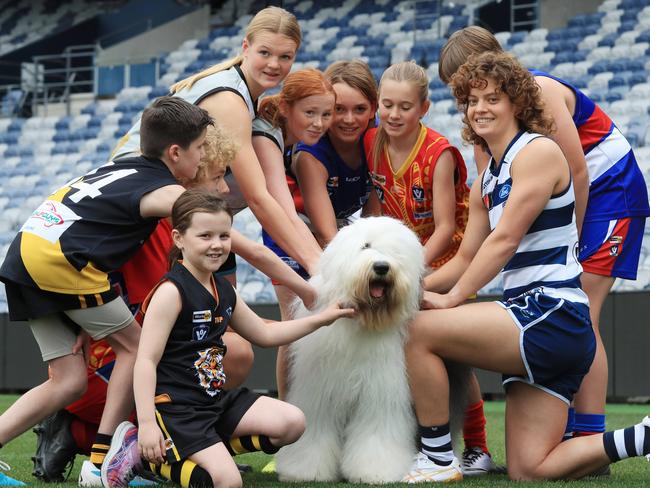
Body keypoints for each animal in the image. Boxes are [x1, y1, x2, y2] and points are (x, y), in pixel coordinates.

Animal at [272, 218, 420, 484]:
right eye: (365, 246)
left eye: (395, 252)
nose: (381, 267)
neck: (362, 320)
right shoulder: (318, 394)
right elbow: (315, 433)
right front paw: (306, 471)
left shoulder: (379, 394)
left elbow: (375, 435)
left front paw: (375, 472)